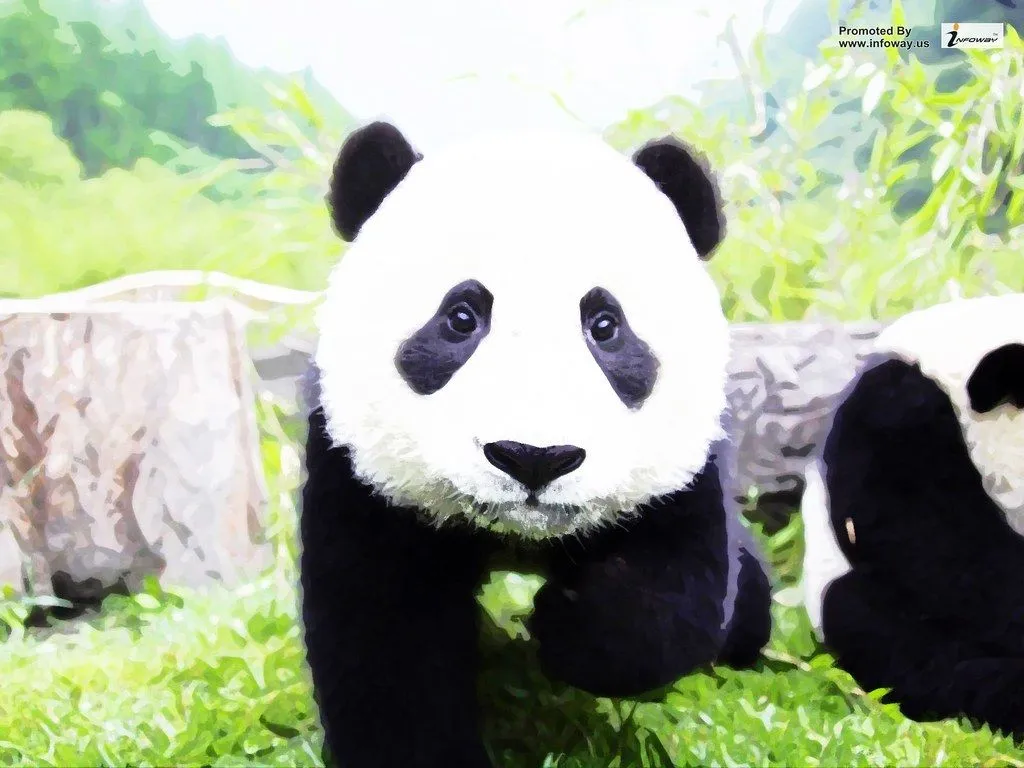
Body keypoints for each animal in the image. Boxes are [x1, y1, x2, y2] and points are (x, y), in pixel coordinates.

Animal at [299, 121, 773, 768]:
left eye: (605, 326)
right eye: (460, 318)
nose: (533, 457)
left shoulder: (684, 469)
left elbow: (674, 591)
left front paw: (569, 625)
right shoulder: (361, 476)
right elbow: (386, 638)